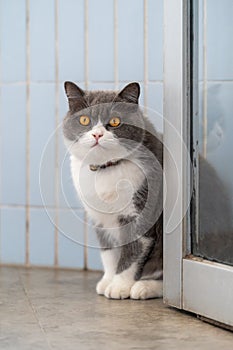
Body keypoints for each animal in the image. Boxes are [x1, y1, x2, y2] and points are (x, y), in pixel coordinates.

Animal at [62, 81, 163, 298]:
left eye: (115, 121)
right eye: (84, 119)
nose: (97, 134)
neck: (106, 170)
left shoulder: (140, 212)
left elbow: (132, 251)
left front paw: (119, 286)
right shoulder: (100, 219)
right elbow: (108, 252)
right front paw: (108, 280)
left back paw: (144, 287)